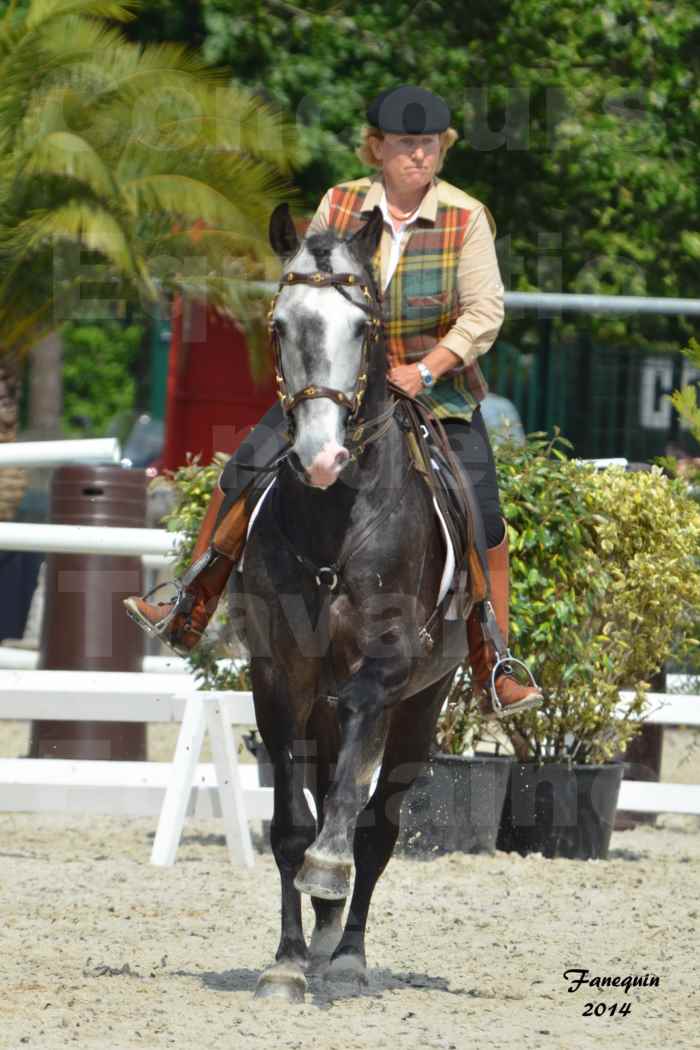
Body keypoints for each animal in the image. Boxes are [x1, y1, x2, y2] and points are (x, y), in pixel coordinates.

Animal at [235, 202, 476, 999]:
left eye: (364, 327)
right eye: (280, 324)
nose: (320, 457)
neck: (334, 520)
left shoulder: (389, 668)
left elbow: (353, 806)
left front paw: (330, 872)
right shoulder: (278, 677)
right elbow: (288, 828)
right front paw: (285, 962)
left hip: (423, 709)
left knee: (380, 826)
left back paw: (346, 954)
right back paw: (317, 943)